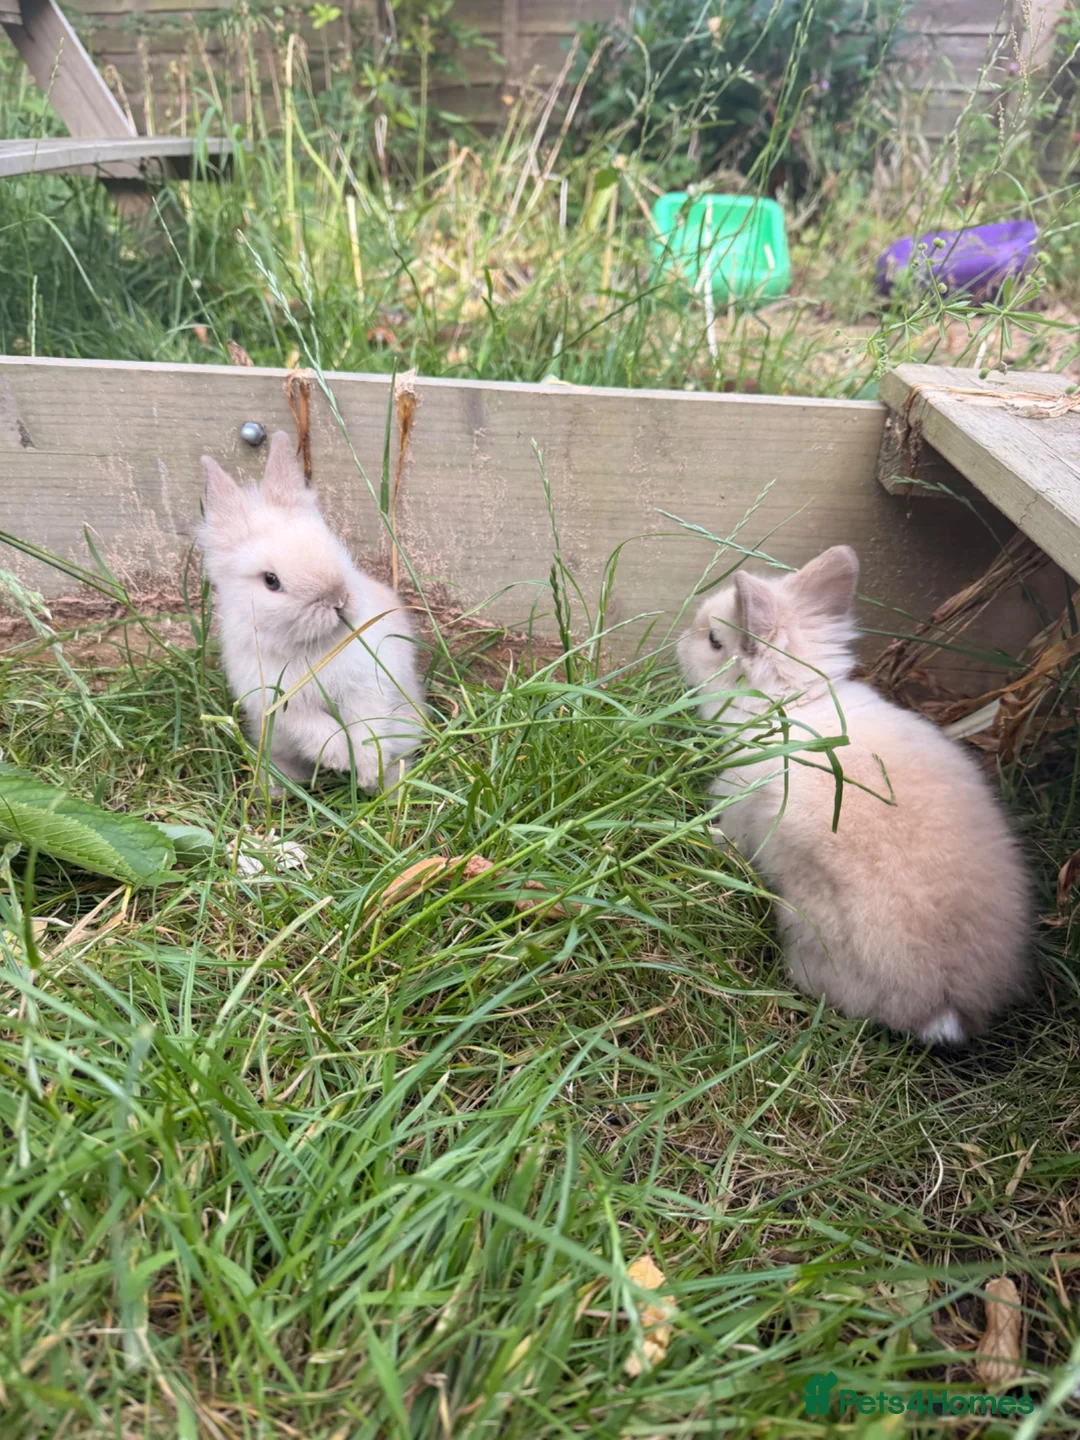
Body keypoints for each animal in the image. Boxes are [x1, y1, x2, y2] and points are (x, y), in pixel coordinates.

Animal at [196, 430, 426, 792]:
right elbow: (318, 729)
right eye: (271, 580)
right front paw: (339, 760)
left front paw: (365, 771)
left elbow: (365, 729)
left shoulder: (366, 686)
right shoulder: (281, 706)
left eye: (331, 542)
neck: (315, 648)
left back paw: (386, 787)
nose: (337, 598)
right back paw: (276, 786)